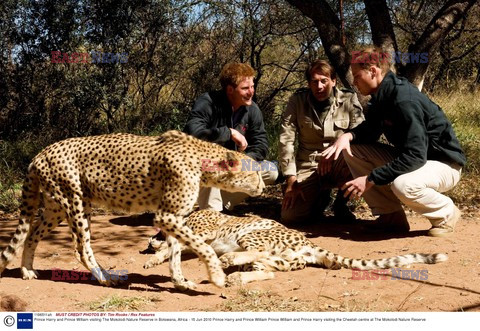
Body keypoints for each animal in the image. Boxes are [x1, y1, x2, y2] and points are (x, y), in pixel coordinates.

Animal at [0, 130, 266, 290]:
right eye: (254, 173)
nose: (263, 186)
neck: (202, 161)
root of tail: (41, 153)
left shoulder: (174, 217)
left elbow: (176, 252)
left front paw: (180, 282)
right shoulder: (167, 215)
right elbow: (205, 248)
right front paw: (217, 275)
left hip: (55, 208)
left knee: (32, 234)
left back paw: (27, 270)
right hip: (76, 202)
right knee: (81, 248)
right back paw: (105, 278)